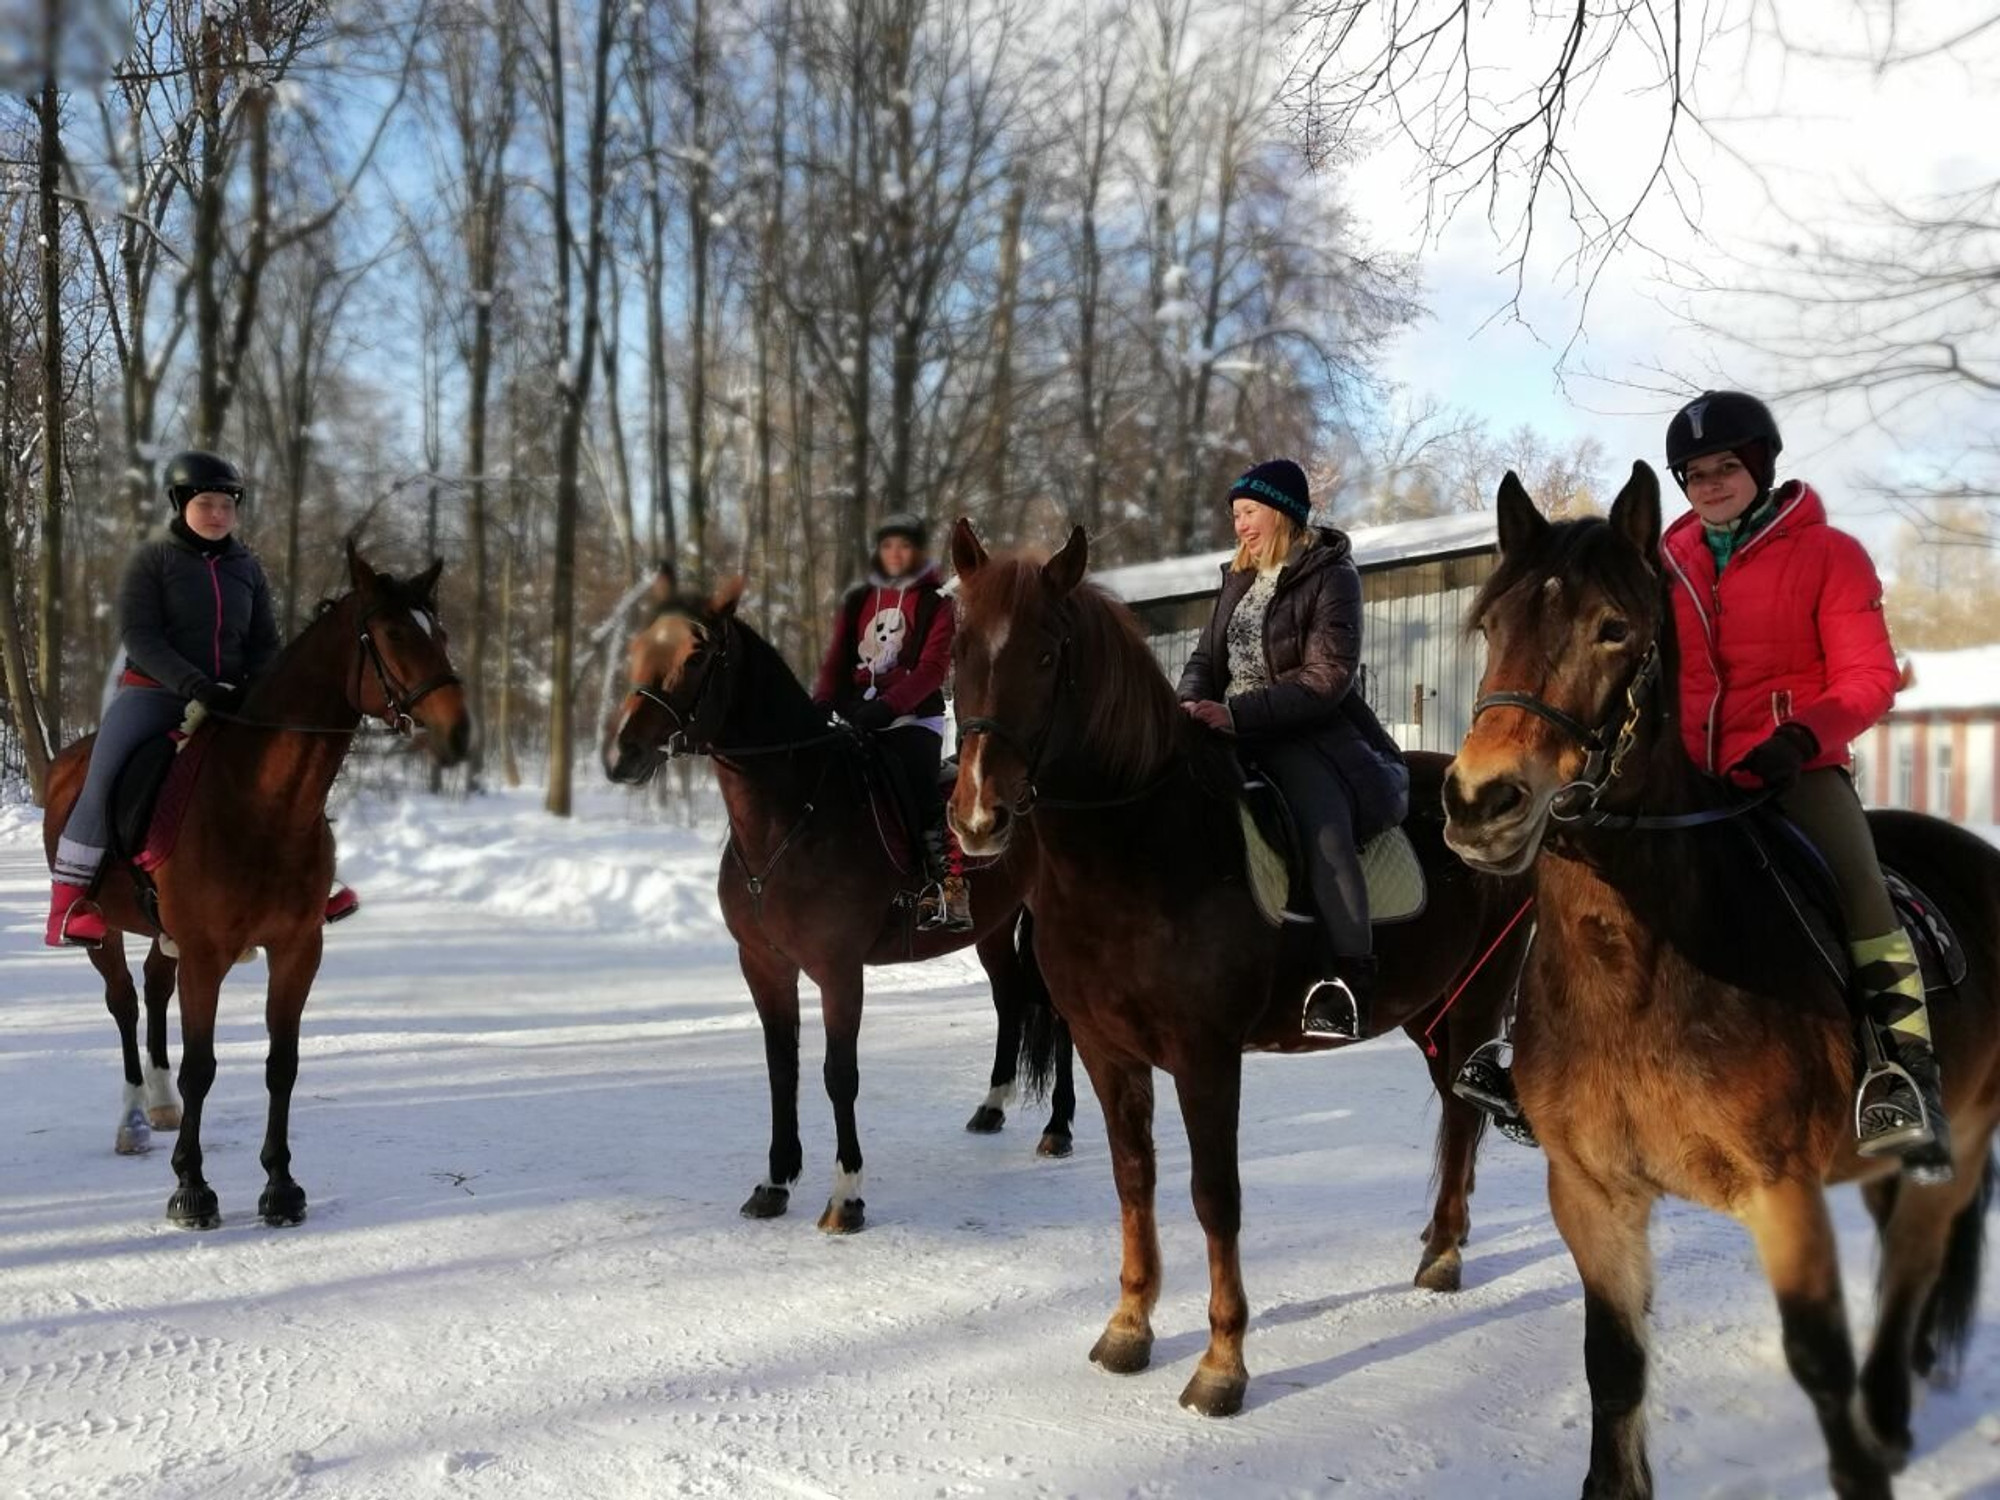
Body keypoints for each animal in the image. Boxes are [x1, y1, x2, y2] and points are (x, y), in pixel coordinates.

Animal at [47, 548, 472, 1224]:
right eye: (393, 634)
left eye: (443, 634)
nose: (458, 731)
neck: (258, 802)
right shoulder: (205, 955)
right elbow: (201, 1067)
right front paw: (192, 1189)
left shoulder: (297, 950)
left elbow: (282, 1064)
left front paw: (280, 1185)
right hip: (106, 932)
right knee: (124, 1002)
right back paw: (135, 1118)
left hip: (165, 936)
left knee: (154, 989)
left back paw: (160, 1106)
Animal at [604, 580, 1080, 1240]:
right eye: (639, 648)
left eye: (696, 657)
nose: (623, 755)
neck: (791, 817)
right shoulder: (764, 966)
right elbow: (783, 1069)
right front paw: (774, 1182)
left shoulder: (838, 969)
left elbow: (839, 1074)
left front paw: (846, 1197)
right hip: (992, 925)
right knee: (1010, 999)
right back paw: (990, 1108)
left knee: (1059, 1016)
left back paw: (1058, 1128)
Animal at [940, 524, 1528, 1424]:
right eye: (960, 649)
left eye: (1045, 654)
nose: (979, 816)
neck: (1140, 849)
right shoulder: (1108, 1052)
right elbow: (1135, 1180)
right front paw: (1128, 1328)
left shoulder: (1205, 1056)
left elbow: (1215, 1196)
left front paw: (1222, 1367)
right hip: (1432, 1013)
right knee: (1457, 1117)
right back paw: (1438, 1245)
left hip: (1477, 1004)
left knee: (1465, 1118)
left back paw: (1446, 1259)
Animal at [1448, 468, 1992, 1500]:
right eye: (1489, 625)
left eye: (1614, 628)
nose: (1479, 802)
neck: (1639, 979)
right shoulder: (1591, 1193)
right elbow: (1615, 1371)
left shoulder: (1782, 1193)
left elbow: (1818, 1360)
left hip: (1966, 1136)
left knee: (1913, 1264)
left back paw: (1891, 1413)